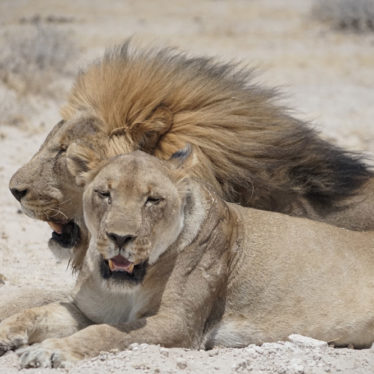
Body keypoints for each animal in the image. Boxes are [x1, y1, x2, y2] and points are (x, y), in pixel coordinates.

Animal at [0, 150, 374, 368]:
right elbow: (36, 313)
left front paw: (51, 351)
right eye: (104, 193)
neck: (129, 285)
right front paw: (8, 334)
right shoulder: (87, 309)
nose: (120, 238)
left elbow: (106, 334)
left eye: (153, 200)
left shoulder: (178, 324)